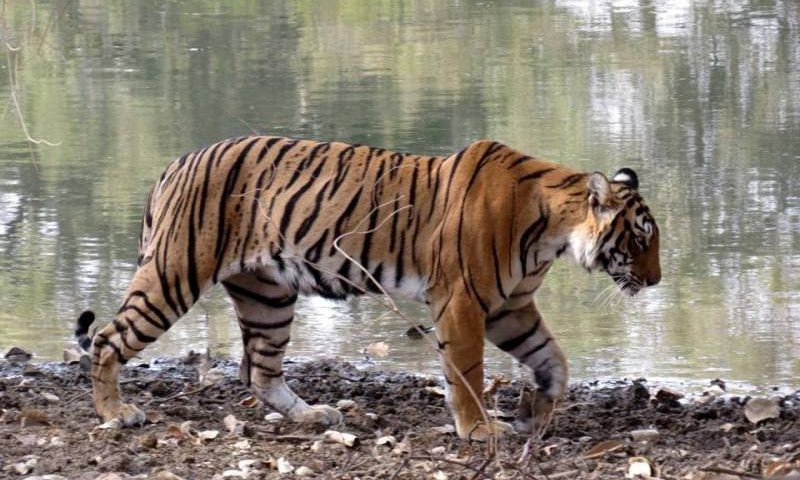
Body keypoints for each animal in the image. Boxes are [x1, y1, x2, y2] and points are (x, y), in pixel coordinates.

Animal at [75, 136, 661, 441]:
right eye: (640, 237)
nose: (656, 281)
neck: (554, 233)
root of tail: (176, 162)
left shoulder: (509, 307)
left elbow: (553, 359)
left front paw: (536, 412)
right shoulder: (464, 300)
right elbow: (467, 373)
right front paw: (481, 430)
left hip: (268, 295)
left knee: (260, 371)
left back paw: (312, 415)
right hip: (173, 274)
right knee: (106, 339)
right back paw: (114, 414)